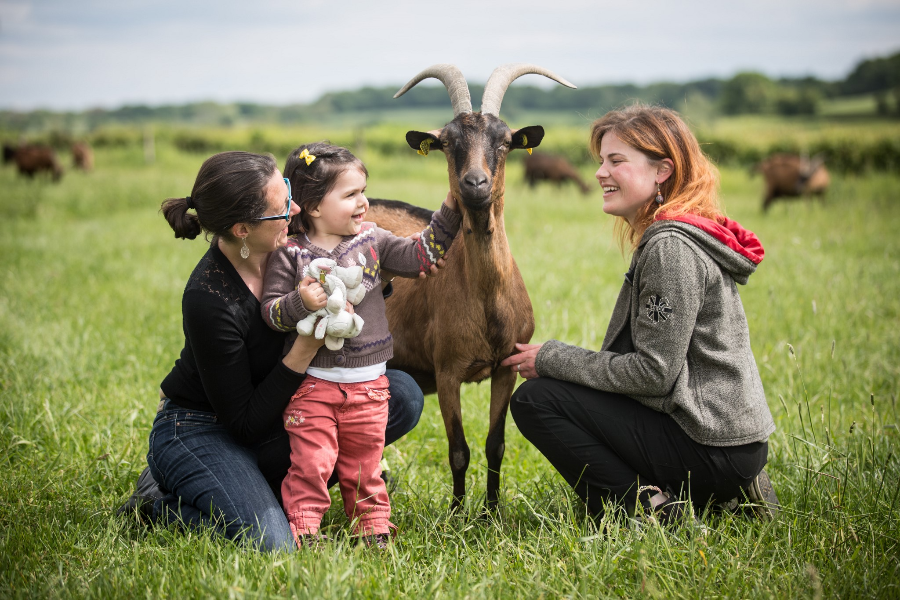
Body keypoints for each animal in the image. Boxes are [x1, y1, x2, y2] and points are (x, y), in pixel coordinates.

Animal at [366, 63, 576, 510]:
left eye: (506, 141)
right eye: (447, 143)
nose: (475, 184)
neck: (486, 301)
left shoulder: (506, 367)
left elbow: (495, 444)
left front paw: (491, 512)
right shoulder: (447, 370)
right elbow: (458, 450)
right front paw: (457, 513)